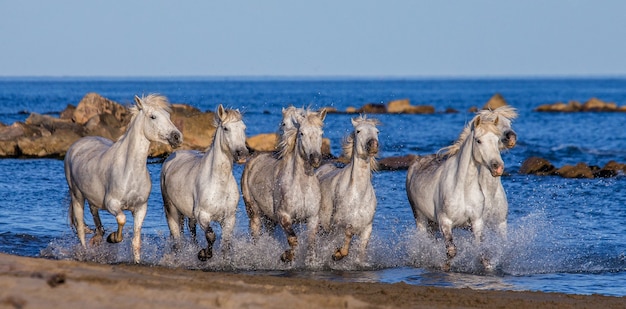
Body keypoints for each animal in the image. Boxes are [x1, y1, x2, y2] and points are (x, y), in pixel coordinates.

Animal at [66, 94, 183, 262]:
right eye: (153, 116)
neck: (129, 172)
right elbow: (122, 219)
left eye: (168, 116)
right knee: (81, 228)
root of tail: (77, 145)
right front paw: (114, 237)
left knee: (94, 215)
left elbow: (136, 241)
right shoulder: (112, 204)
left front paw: (137, 261)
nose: (177, 137)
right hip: (77, 196)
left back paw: (97, 237)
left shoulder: (140, 208)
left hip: (92, 198)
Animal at [160, 104, 247, 260]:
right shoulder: (203, 215)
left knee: (191, 230)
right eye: (226, 128)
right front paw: (204, 254)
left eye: (244, 128)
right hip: (171, 210)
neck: (218, 183)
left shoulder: (229, 218)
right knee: (177, 237)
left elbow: (225, 243)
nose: (242, 154)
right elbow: (211, 235)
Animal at [240, 107, 326, 262]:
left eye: (321, 133)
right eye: (302, 133)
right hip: (254, 213)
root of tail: (253, 160)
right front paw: (286, 256)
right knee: (255, 236)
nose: (315, 158)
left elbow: (311, 244)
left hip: (269, 219)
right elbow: (293, 239)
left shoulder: (313, 218)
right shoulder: (283, 216)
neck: (301, 187)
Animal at [316, 114, 376, 262]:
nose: (373, 144)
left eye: (377, 132)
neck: (358, 195)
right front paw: (337, 254)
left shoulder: (367, 228)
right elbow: (348, 233)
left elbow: (361, 250)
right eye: (358, 131)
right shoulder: (338, 224)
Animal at [404, 113, 502, 270]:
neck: (463, 188)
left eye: (498, 140)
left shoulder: (477, 222)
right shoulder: (445, 222)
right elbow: (451, 250)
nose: (497, 167)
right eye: (478, 140)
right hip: (420, 217)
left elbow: (482, 252)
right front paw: (445, 266)